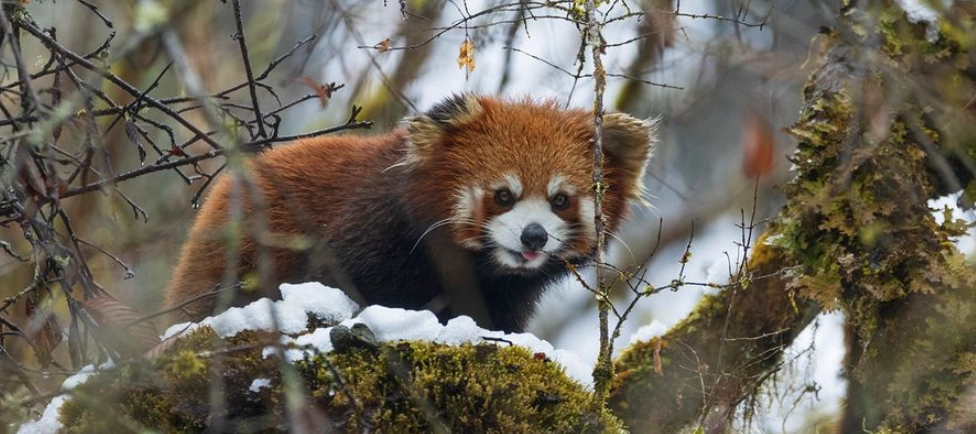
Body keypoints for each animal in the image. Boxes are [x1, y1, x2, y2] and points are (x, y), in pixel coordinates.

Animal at [166, 95, 656, 332]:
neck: (478, 267)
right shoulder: (370, 234)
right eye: (503, 196)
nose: (533, 236)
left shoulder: (507, 294)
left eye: (559, 200)